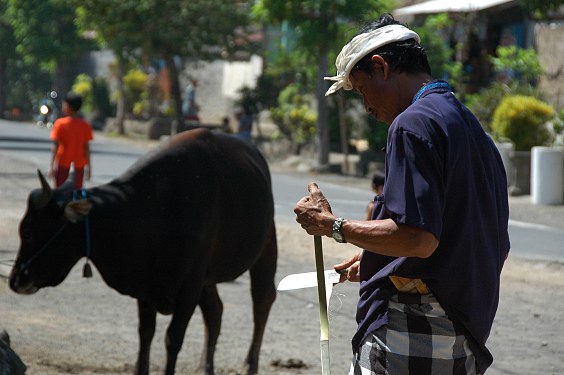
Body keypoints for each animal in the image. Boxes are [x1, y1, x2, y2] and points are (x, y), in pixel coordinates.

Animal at [10, 129, 278, 375]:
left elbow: (173, 338)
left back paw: (249, 365)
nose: (15, 280)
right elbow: (145, 333)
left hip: (266, 246)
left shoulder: (189, 286)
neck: (153, 209)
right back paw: (205, 368)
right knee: (215, 312)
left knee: (262, 302)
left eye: (29, 231)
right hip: (208, 279)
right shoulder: (145, 285)